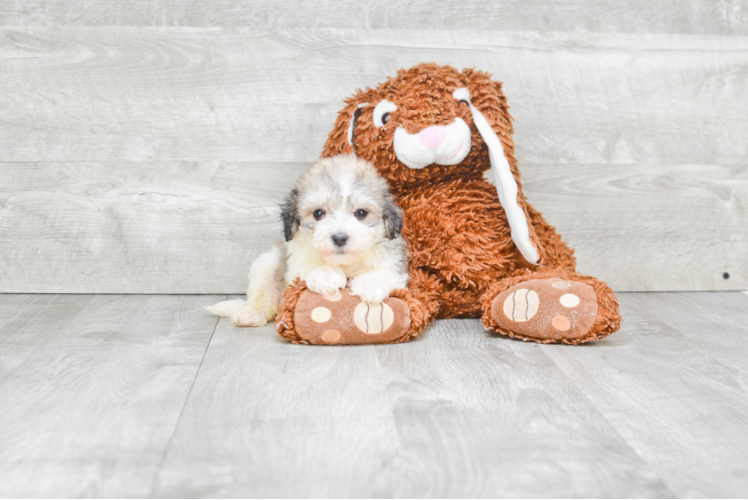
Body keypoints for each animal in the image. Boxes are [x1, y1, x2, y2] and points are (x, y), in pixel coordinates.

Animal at [206, 154, 410, 330]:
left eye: (361, 213)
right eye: (318, 213)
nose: (339, 237)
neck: (343, 263)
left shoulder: (394, 262)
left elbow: (386, 273)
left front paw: (370, 284)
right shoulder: (296, 262)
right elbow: (307, 266)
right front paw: (327, 275)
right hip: (266, 264)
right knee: (263, 296)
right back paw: (251, 314)